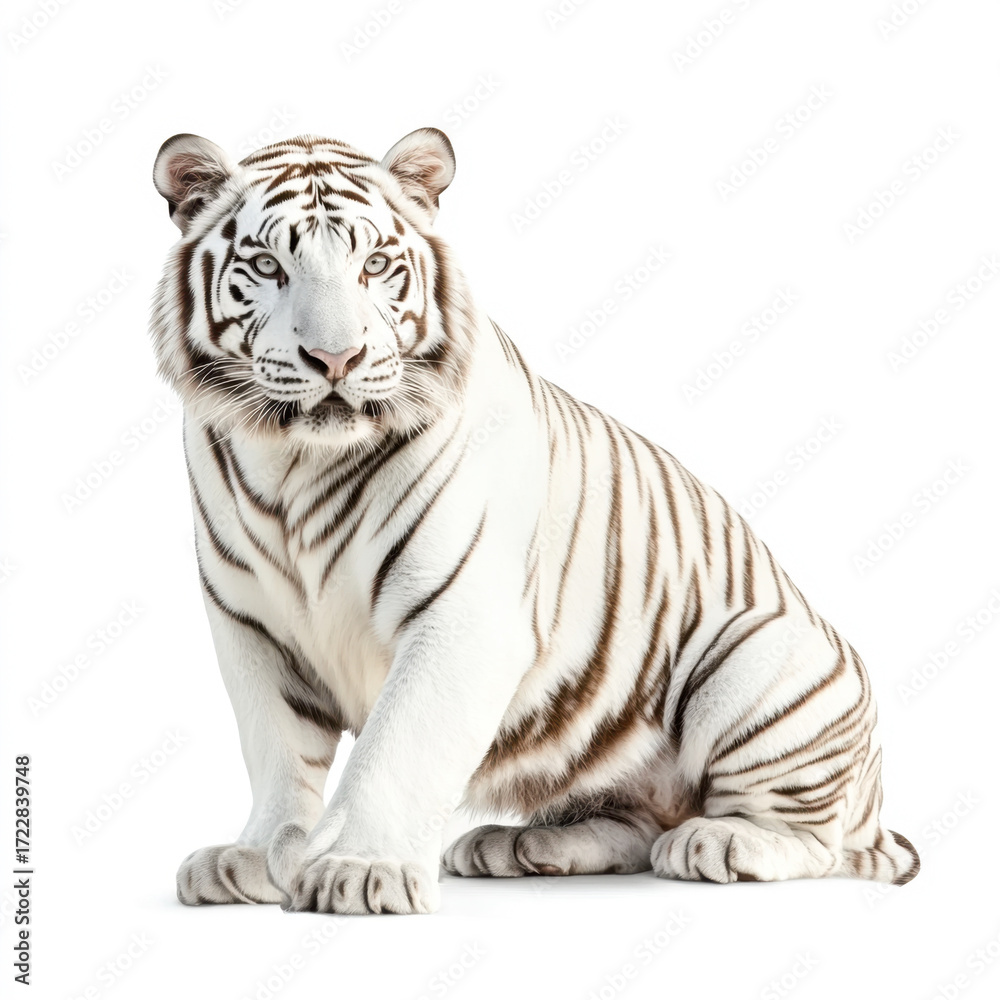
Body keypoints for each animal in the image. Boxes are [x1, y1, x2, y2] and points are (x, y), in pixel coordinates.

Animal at [150, 126, 919, 915]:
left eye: (375, 266)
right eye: (267, 266)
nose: (336, 358)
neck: (295, 465)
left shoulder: (460, 616)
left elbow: (396, 750)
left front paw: (358, 870)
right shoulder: (251, 626)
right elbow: (276, 752)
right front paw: (254, 856)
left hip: (756, 656)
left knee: (814, 840)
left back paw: (717, 841)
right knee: (632, 821)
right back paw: (517, 845)